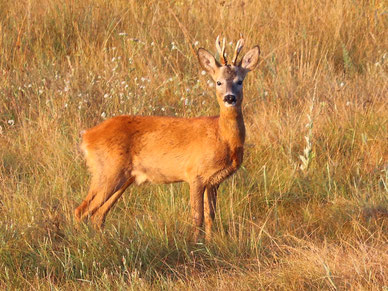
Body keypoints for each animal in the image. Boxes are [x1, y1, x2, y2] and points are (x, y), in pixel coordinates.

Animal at [74, 37, 260, 242]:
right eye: (218, 82)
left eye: (239, 81)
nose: (230, 98)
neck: (222, 136)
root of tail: (88, 136)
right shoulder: (194, 174)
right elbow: (197, 216)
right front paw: (196, 244)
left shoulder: (214, 181)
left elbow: (211, 215)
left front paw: (211, 243)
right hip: (107, 170)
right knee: (82, 210)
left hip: (123, 177)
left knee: (98, 215)